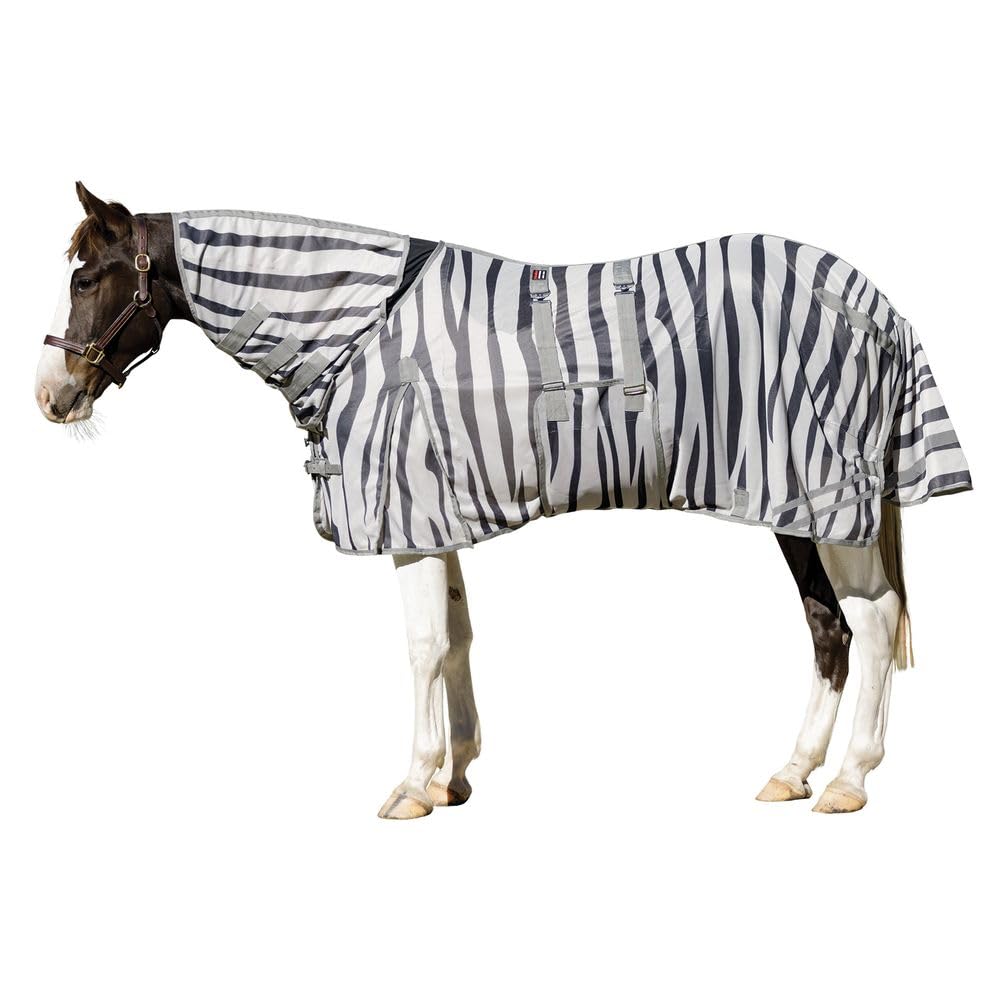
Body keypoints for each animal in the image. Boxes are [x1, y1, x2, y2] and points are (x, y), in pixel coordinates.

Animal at [35, 183, 972, 818]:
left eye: (86, 279)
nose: (49, 396)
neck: (360, 328)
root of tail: (870, 300)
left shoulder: (407, 514)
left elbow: (420, 647)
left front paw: (412, 783)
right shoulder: (438, 511)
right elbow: (456, 638)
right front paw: (455, 776)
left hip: (829, 497)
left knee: (874, 622)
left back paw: (848, 780)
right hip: (795, 507)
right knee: (830, 629)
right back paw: (793, 771)